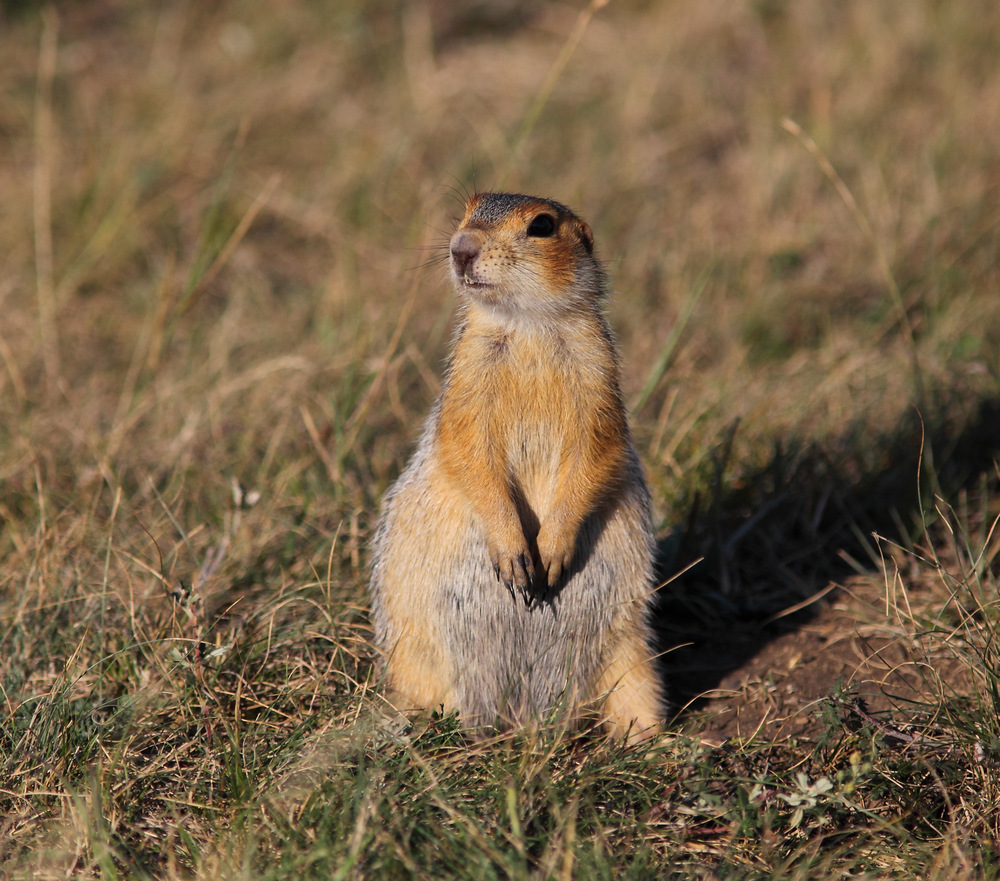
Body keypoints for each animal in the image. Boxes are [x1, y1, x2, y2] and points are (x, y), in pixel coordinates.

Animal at [370, 194, 664, 744]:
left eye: (542, 226)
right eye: (467, 210)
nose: (461, 248)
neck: (528, 326)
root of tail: (521, 720)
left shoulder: (599, 378)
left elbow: (599, 451)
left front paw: (552, 549)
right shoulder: (467, 378)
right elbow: (467, 449)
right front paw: (514, 552)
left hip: (631, 649)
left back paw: (656, 743)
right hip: (414, 654)